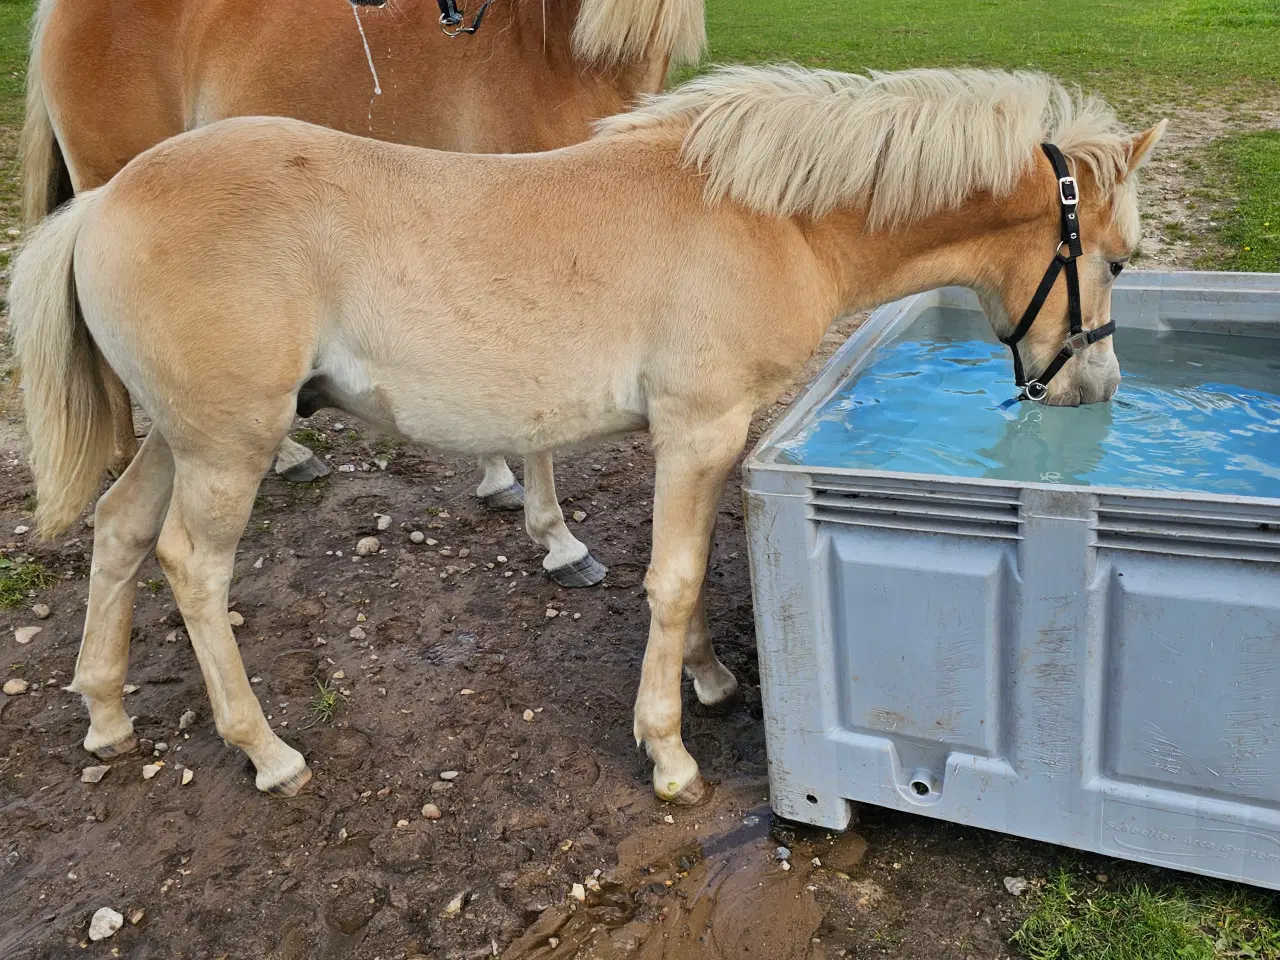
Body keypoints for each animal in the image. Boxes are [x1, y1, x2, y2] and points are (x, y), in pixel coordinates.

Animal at [12, 67, 1172, 798]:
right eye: (1116, 259)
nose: (1095, 391)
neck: (769, 217)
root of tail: (104, 199)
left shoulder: (705, 437)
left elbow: (690, 571)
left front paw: (707, 678)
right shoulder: (698, 428)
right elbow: (674, 577)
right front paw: (669, 754)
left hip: (180, 440)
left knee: (120, 533)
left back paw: (106, 712)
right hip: (227, 449)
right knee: (189, 566)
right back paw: (267, 751)